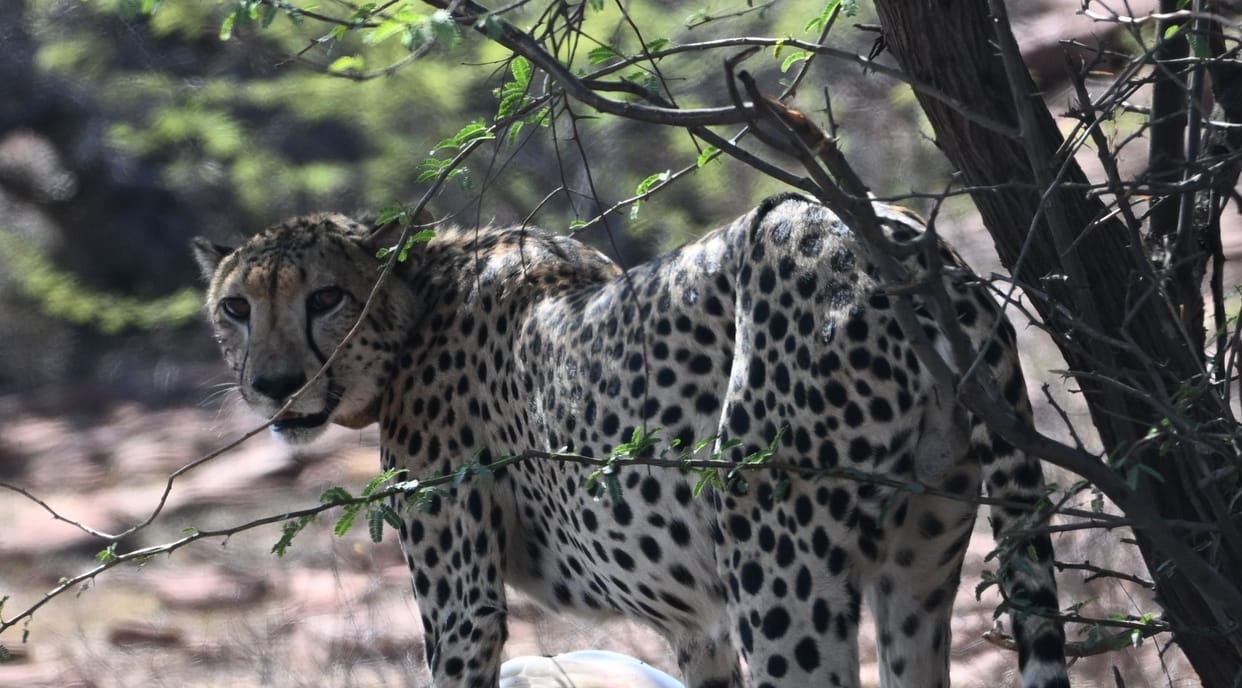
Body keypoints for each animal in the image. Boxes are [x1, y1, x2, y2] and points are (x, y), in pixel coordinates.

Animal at [194, 193, 1069, 688]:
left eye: (326, 298)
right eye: (236, 307)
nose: (273, 385)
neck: (415, 306)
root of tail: (904, 240)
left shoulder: (462, 608)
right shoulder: (696, 624)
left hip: (777, 563)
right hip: (918, 565)